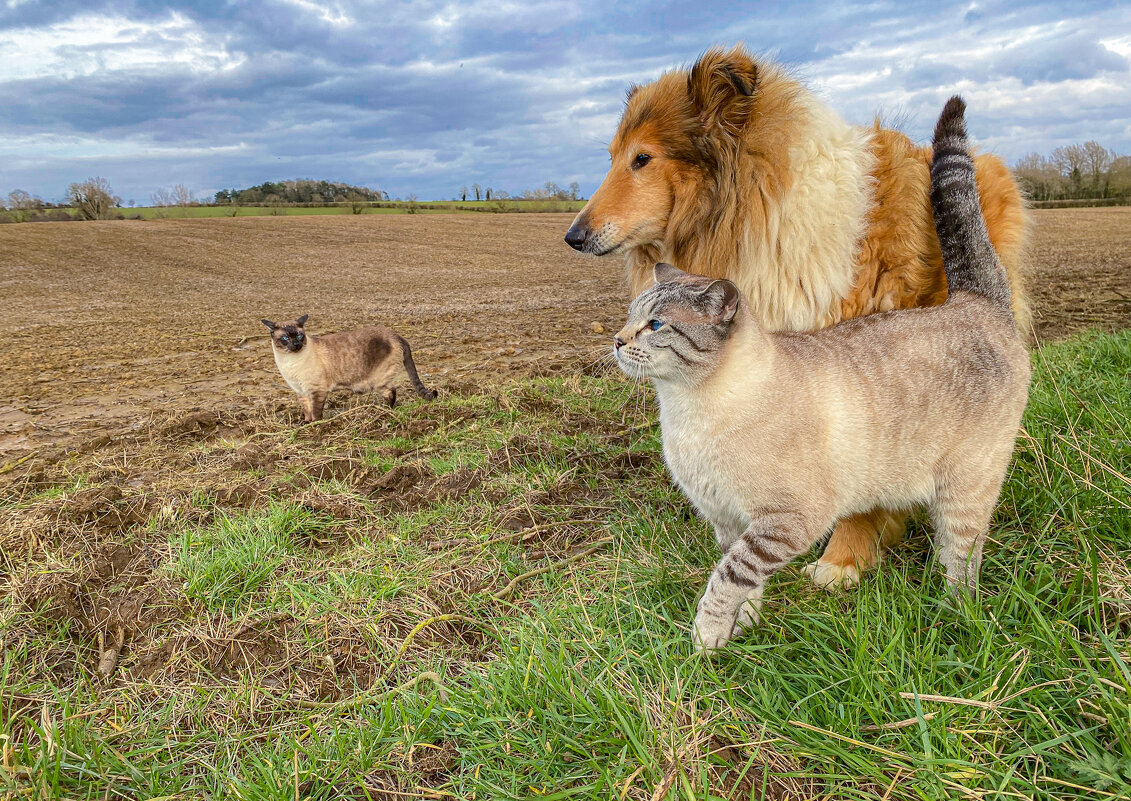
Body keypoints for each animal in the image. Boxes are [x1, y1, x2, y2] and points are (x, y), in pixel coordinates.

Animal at [261, 314, 436, 425]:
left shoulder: (317, 390)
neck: (289, 362)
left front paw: (316, 425)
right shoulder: (301, 392)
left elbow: (316, 412)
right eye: (285, 338)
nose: (296, 345)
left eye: (298, 336)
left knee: (391, 391)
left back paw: (385, 410)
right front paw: (306, 423)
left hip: (377, 381)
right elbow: (307, 410)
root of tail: (397, 335)